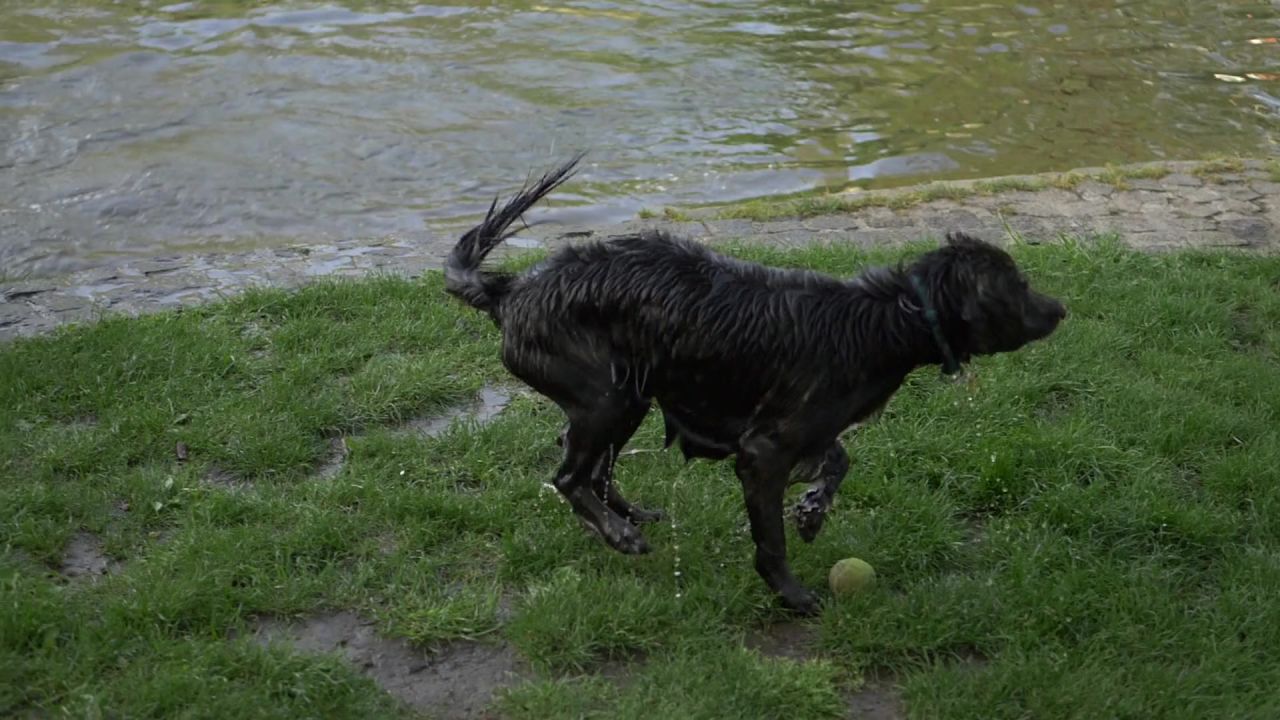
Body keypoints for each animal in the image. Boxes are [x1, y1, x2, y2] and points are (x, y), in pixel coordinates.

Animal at [445, 156, 1064, 609]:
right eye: (1020, 285)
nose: (1061, 309)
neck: (884, 320)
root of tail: (510, 292)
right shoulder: (763, 451)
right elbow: (771, 540)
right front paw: (793, 594)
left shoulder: (803, 430)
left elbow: (838, 460)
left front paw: (813, 510)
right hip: (608, 395)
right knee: (569, 475)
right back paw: (620, 534)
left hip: (630, 394)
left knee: (589, 467)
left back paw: (627, 516)